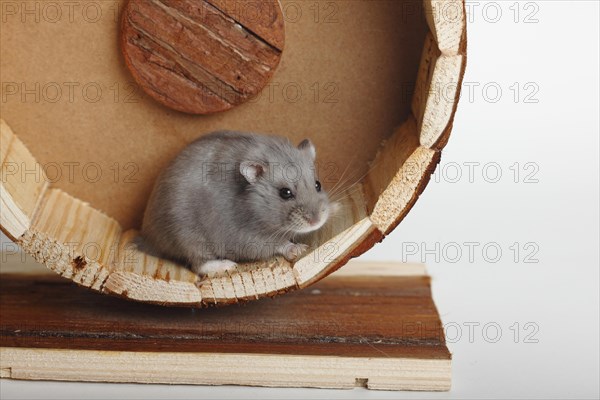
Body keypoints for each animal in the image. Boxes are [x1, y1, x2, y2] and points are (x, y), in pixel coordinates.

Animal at [138, 130, 340, 276]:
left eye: (318, 184)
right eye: (285, 193)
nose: (316, 221)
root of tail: (147, 237)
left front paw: (335, 208)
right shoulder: (248, 237)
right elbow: (278, 244)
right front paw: (298, 249)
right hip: (189, 239)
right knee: (198, 264)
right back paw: (227, 266)